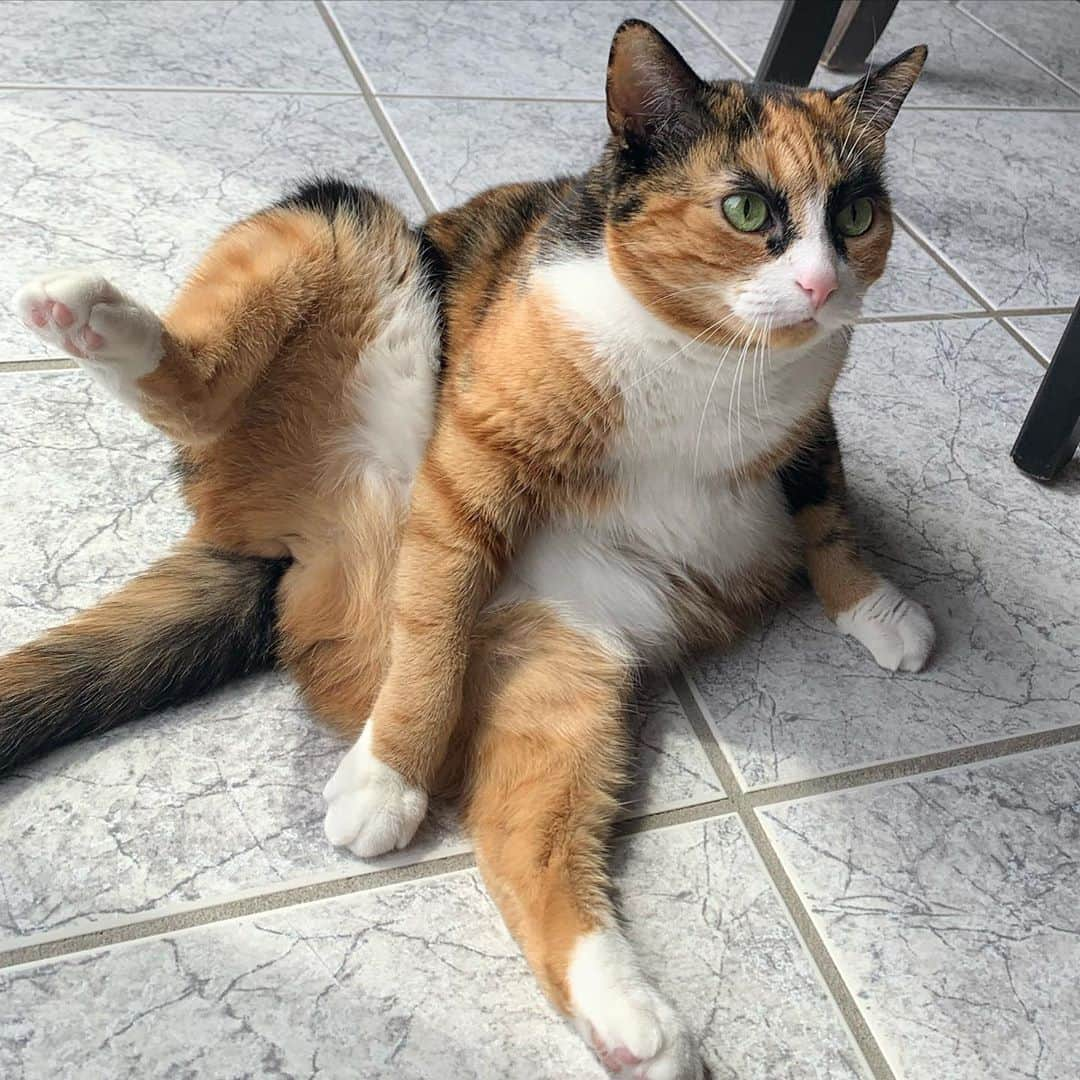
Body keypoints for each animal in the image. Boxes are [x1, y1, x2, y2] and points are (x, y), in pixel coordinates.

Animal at [2, 19, 928, 1080]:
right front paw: (389, 775)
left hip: (570, 657)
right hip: (347, 242)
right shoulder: (475, 459)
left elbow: (829, 513)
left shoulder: (813, 430)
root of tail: (273, 559)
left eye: (855, 213)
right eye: (746, 208)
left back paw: (629, 1020)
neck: (707, 361)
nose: (822, 284)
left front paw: (878, 609)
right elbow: (436, 617)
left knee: (523, 840)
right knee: (207, 395)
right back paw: (103, 324)